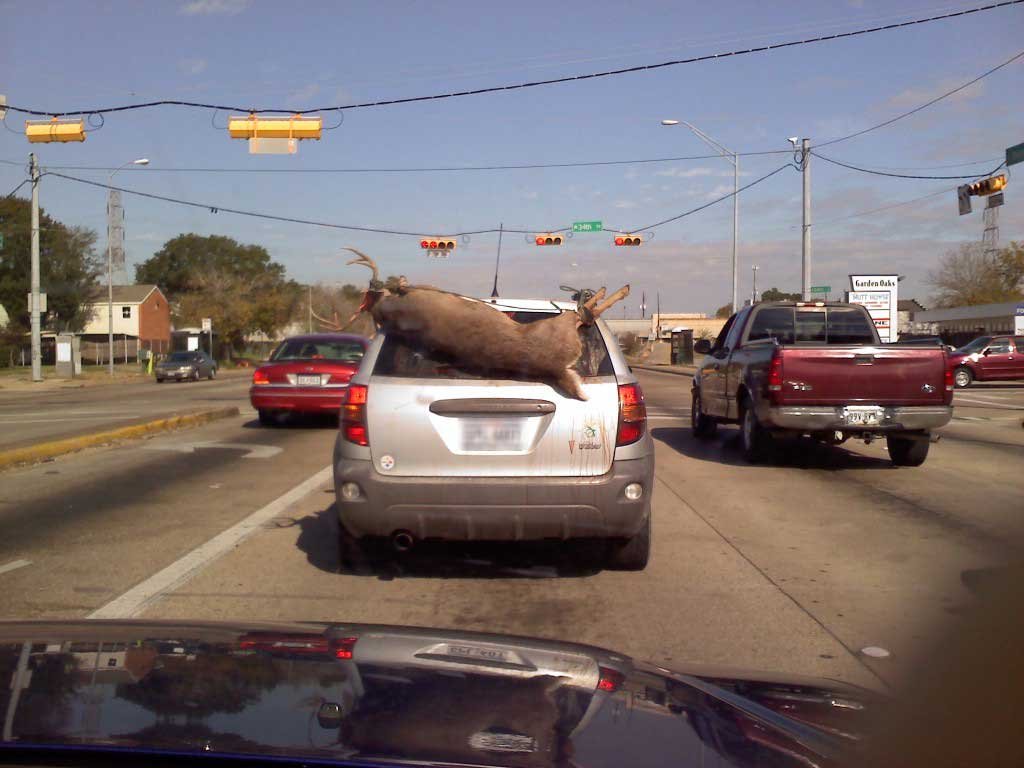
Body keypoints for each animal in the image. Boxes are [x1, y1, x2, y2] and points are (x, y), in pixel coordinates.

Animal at [329, 248, 629, 400]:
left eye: (368, 296)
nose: (375, 283)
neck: (394, 311)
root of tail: (554, 368)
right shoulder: (427, 291)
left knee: (586, 313)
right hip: (562, 325)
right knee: (585, 313)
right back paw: (615, 290)